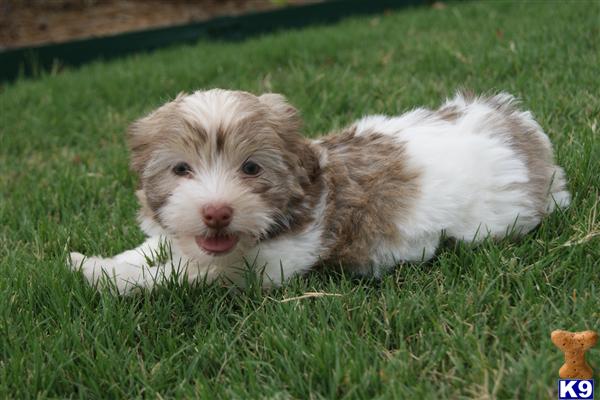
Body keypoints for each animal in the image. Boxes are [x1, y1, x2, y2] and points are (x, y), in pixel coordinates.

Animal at [68, 90, 568, 294]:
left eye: (251, 168)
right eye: (180, 169)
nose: (215, 213)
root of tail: (518, 127)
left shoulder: (260, 268)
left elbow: (178, 275)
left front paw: (106, 279)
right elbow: (153, 249)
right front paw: (96, 262)